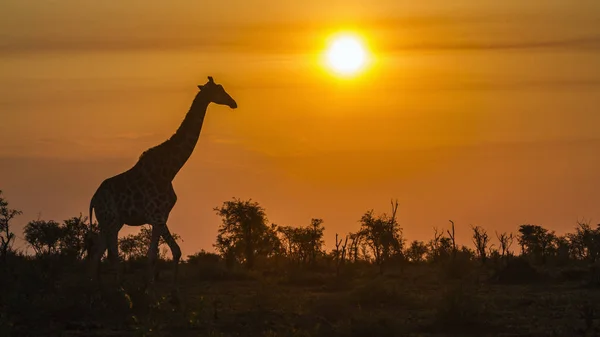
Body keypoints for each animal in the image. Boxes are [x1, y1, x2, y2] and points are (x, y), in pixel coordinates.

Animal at [88, 76, 238, 284]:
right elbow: (163, 254)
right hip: (111, 220)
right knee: (111, 255)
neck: (170, 170)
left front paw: (162, 289)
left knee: (96, 254)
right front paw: (157, 289)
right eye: (219, 90)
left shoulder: (161, 217)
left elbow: (162, 253)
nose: (233, 103)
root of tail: (93, 199)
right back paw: (118, 288)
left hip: (110, 222)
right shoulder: (157, 216)